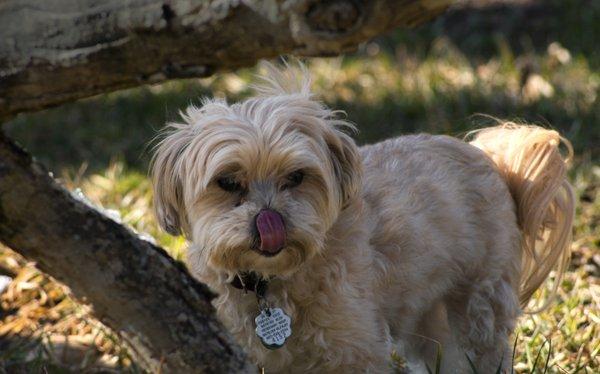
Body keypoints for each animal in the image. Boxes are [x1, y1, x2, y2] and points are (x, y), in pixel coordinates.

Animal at [150, 62, 572, 372]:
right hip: (426, 315)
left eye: (296, 177)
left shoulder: (355, 350)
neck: (271, 285)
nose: (270, 220)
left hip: (478, 305)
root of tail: (497, 164)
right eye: (227, 182)